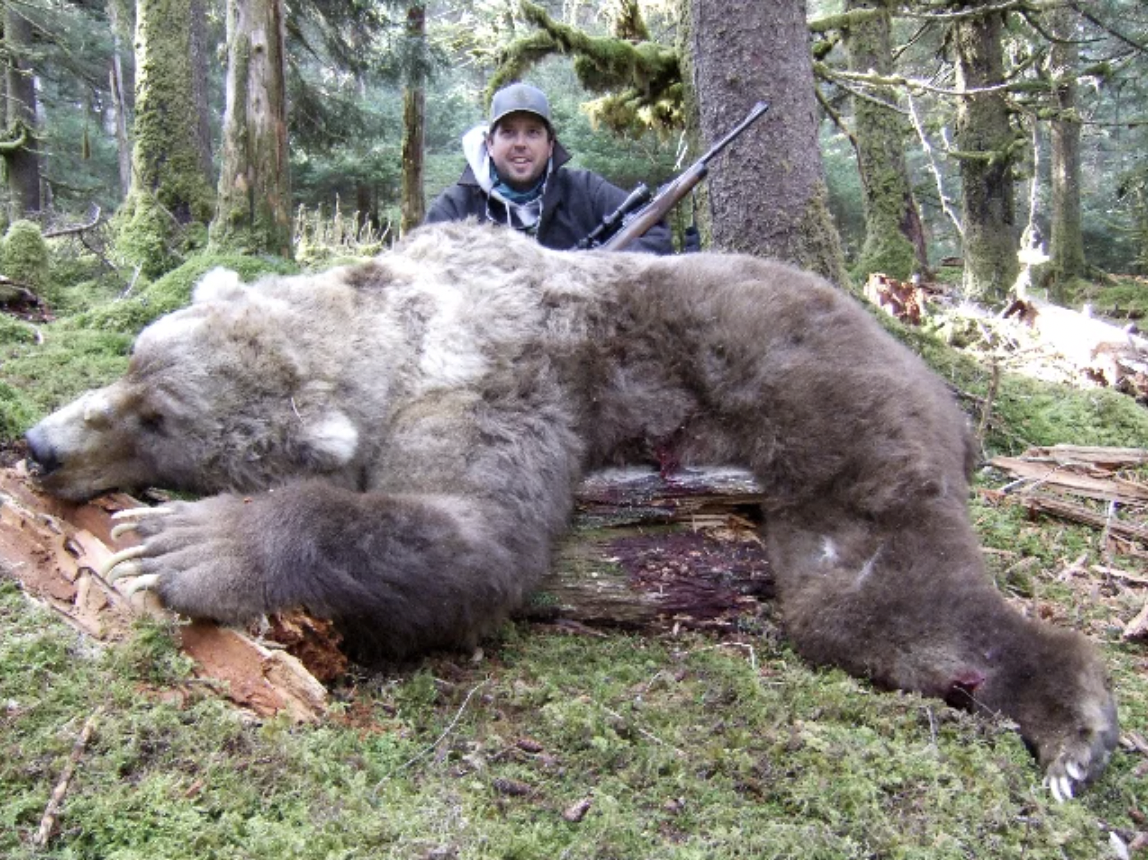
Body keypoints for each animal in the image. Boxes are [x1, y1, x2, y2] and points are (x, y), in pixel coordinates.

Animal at [26, 219, 1115, 799]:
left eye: (162, 419)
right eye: (135, 358)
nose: (39, 446)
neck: (401, 320)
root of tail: (941, 389)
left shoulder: (494, 390)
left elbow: (476, 543)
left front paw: (191, 544)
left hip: (840, 415)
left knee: (886, 590)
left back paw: (1074, 730)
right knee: (857, 604)